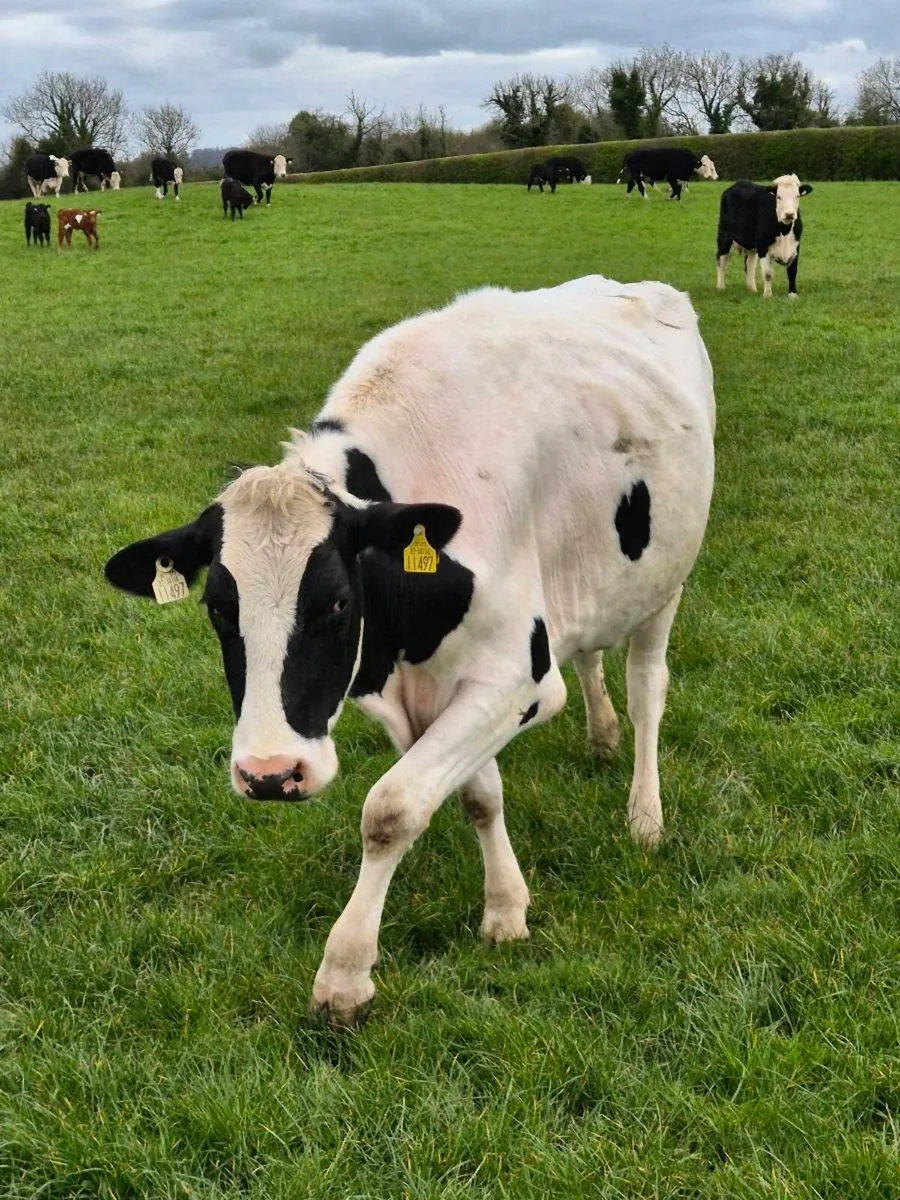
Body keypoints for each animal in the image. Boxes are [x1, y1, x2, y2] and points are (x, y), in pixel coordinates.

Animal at [104, 274, 716, 1026]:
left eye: (337, 603)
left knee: (646, 691)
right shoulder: (413, 692)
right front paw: (507, 906)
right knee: (591, 652)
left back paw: (644, 816)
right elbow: (476, 794)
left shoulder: (518, 680)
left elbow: (391, 808)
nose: (271, 774)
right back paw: (601, 736)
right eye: (219, 608)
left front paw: (345, 972)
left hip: (666, 582)